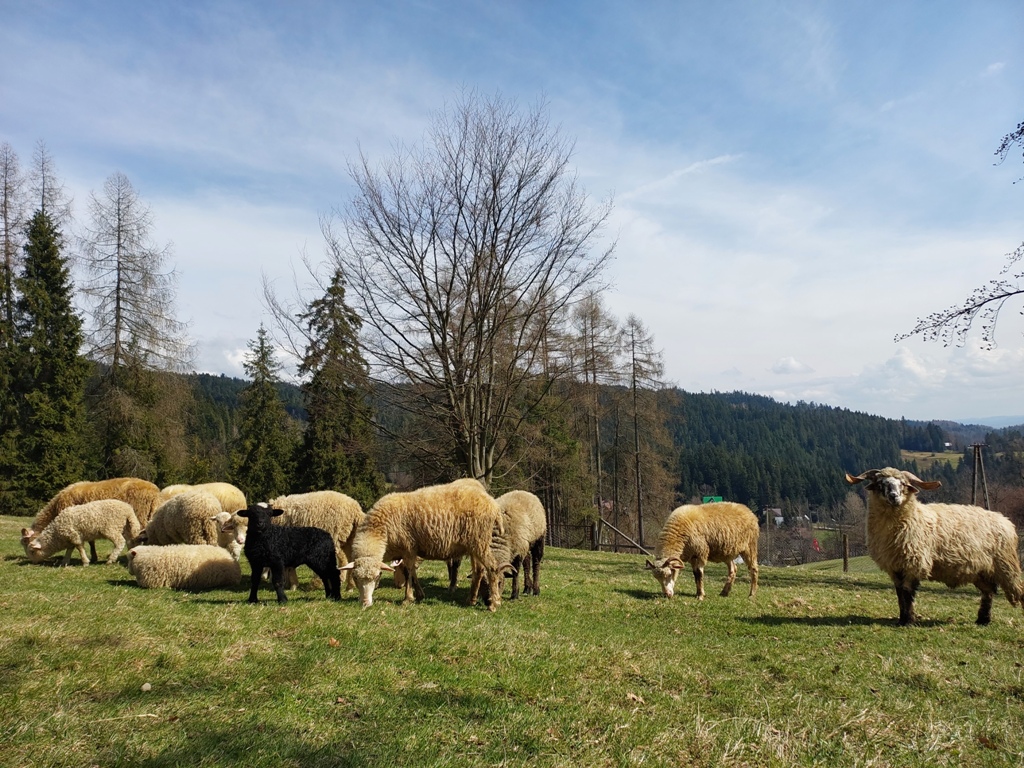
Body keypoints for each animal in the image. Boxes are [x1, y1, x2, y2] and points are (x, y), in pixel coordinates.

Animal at [340, 480, 509, 611]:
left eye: (377, 576)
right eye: (355, 577)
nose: (365, 603)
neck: (381, 529)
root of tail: (493, 504)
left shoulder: (408, 547)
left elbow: (409, 572)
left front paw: (408, 598)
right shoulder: (408, 551)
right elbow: (412, 572)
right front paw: (419, 594)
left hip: (480, 541)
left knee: (492, 568)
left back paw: (494, 603)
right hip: (475, 545)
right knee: (478, 571)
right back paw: (471, 599)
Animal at [846, 467, 1024, 625]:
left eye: (903, 484)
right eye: (880, 483)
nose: (894, 496)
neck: (913, 517)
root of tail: (1005, 520)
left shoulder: (914, 563)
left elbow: (907, 593)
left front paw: (908, 621)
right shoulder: (894, 567)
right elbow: (899, 594)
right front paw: (902, 619)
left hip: (1006, 565)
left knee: (1018, 590)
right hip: (981, 570)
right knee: (988, 592)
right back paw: (983, 620)